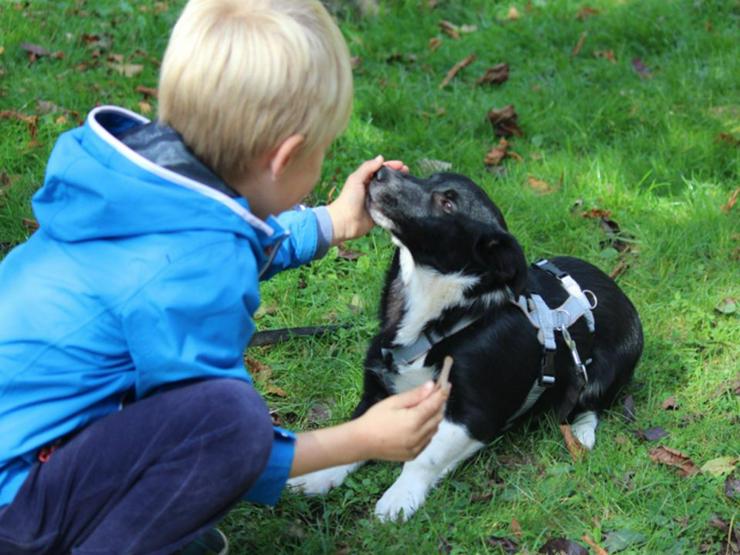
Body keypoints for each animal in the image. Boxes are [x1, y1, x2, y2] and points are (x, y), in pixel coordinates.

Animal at [290, 168, 640, 520]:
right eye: (428, 176)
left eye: (447, 204)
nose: (381, 171)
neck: (442, 317)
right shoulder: (377, 390)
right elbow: (356, 433)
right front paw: (319, 475)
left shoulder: (473, 415)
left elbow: (425, 457)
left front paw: (399, 497)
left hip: (603, 374)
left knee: (590, 405)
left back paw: (581, 433)